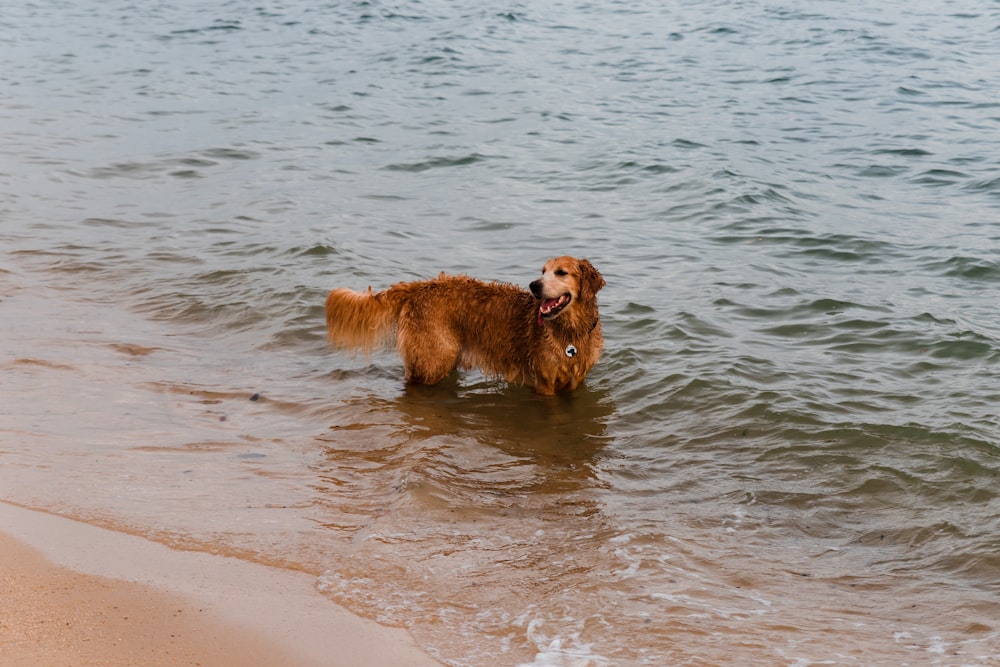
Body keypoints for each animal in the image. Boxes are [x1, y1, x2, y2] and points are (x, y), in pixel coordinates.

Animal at [324, 256, 604, 392]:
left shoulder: (575, 382)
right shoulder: (545, 385)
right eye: (543, 271)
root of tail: (419, 287)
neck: (570, 332)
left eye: (561, 272)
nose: (534, 285)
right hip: (433, 358)